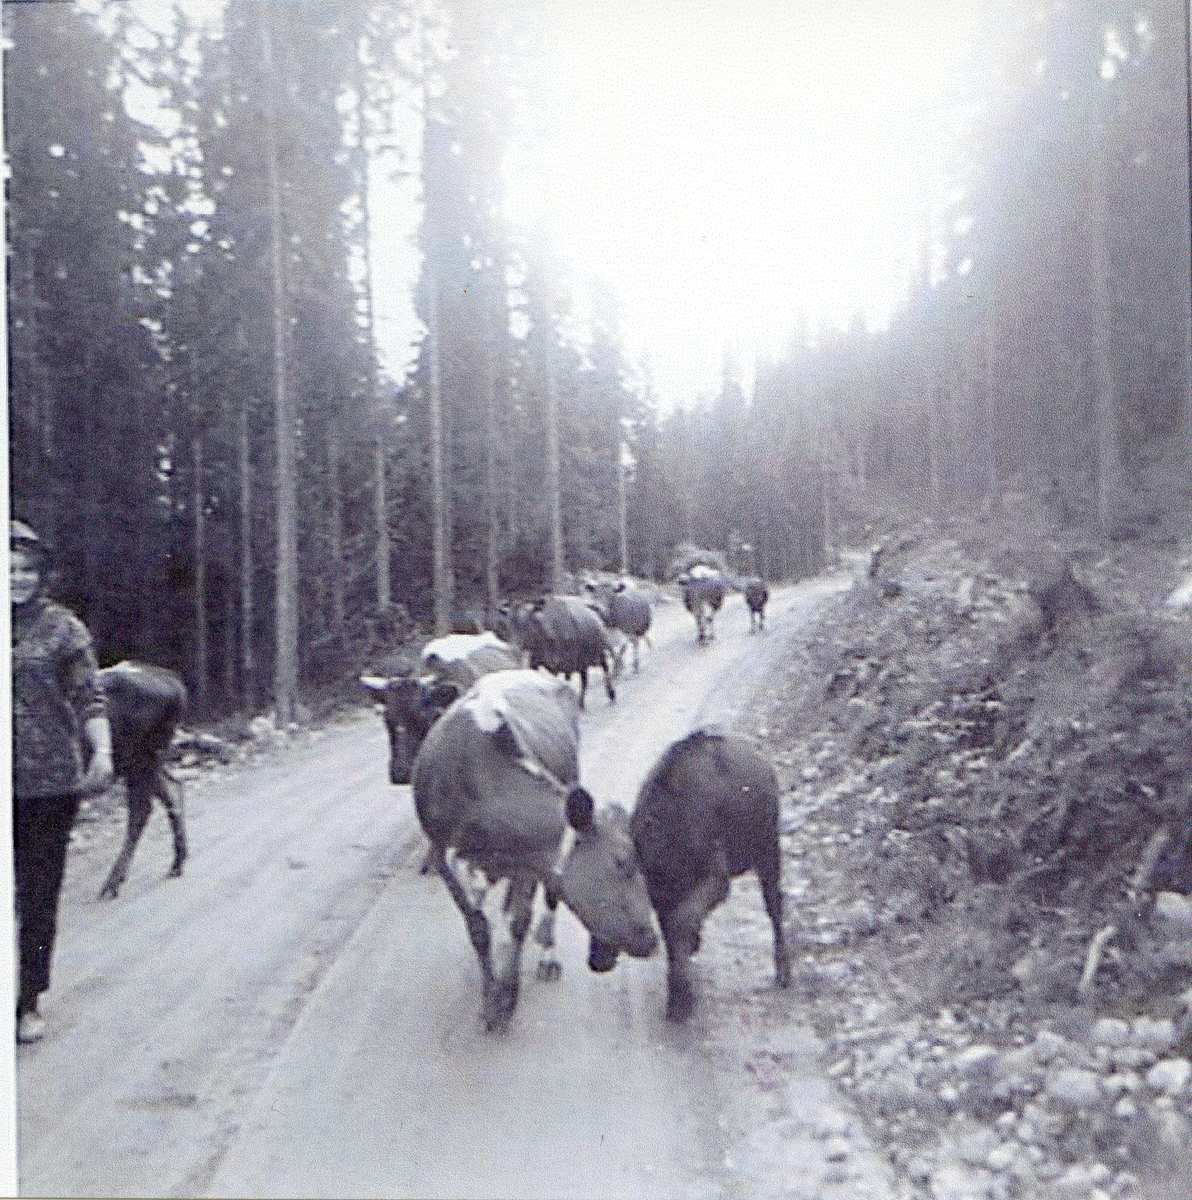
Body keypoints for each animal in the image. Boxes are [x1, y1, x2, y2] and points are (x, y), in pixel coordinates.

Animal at [96, 657, 187, 902]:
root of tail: (176, 684)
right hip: (146, 762)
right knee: (173, 787)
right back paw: (178, 861)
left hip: (138, 759)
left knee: (141, 810)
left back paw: (112, 883)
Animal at [410, 667, 657, 1032]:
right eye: (622, 862)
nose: (652, 939)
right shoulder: (443, 855)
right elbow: (478, 927)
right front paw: (491, 999)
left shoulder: (529, 861)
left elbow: (519, 921)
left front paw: (508, 994)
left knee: (546, 901)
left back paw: (547, 956)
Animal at [588, 729, 792, 1022]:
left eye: (611, 901)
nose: (596, 960)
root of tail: (763, 765)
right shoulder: (663, 896)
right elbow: (673, 934)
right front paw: (678, 999)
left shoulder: (717, 879)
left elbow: (681, 923)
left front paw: (681, 997)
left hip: (768, 850)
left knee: (775, 905)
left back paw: (783, 974)